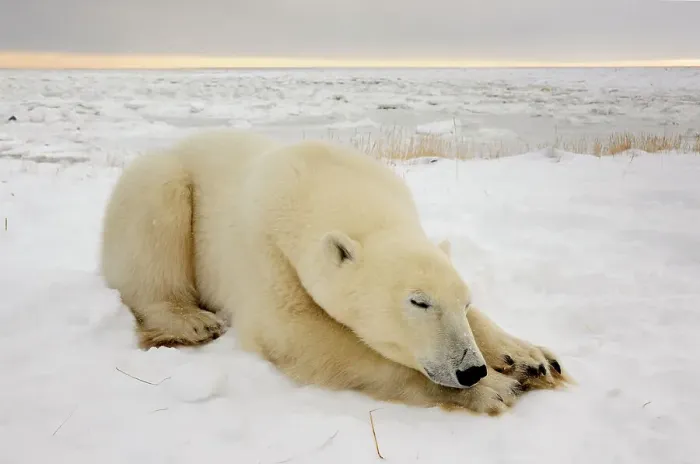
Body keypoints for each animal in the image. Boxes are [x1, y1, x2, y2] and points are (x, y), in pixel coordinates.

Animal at [100, 129, 569, 416]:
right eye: (418, 302)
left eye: (464, 303)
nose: (470, 370)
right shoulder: (265, 250)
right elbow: (297, 333)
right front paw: (493, 390)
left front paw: (530, 359)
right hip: (160, 186)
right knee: (157, 212)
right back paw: (191, 321)